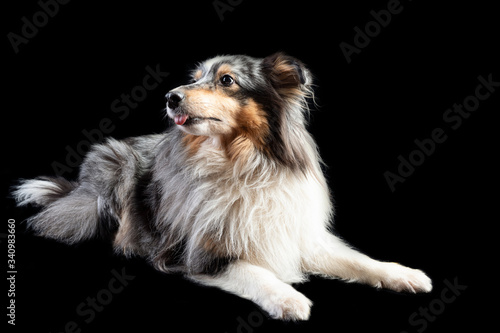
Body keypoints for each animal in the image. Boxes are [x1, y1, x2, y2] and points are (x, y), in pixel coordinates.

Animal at [13, 52, 432, 320]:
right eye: (195, 77)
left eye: (226, 80)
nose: (170, 96)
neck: (242, 163)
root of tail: (78, 185)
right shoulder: (202, 253)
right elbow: (256, 272)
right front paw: (290, 299)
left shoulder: (296, 234)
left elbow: (358, 260)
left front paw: (404, 274)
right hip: (115, 166)